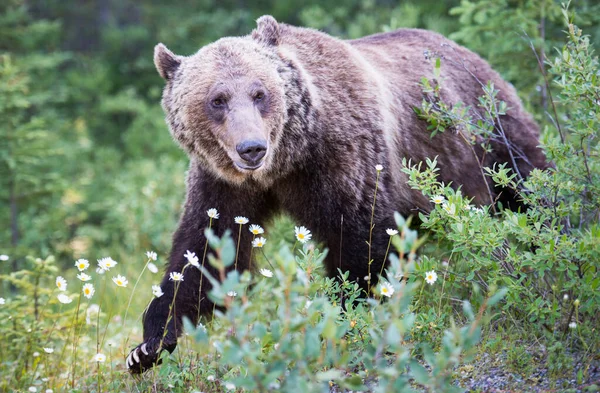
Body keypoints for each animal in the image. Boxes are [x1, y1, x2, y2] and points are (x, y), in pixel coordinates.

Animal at [126, 14, 548, 370]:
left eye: (260, 93)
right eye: (217, 99)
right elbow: (204, 252)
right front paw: (148, 345)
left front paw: (348, 314)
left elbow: (359, 239)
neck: (287, 161)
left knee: (528, 185)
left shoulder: (344, 157)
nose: (251, 148)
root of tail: (467, 52)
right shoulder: (222, 185)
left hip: (489, 135)